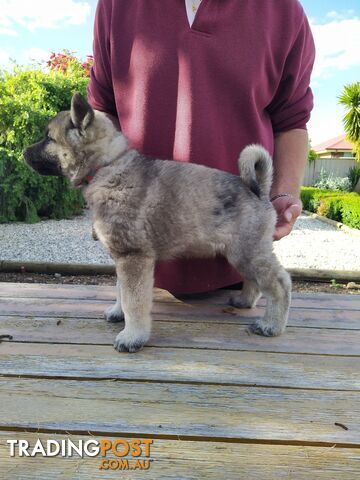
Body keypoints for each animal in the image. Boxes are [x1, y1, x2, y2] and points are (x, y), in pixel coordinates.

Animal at [23, 92, 292, 352]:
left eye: (48, 138)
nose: (23, 152)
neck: (106, 166)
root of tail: (257, 190)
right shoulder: (123, 258)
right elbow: (121, 290)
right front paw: (118, 313)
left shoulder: (133, 257)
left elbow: (134, 300)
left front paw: (132, 336)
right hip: (241, 253)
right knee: (256, 281)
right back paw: (245, 301)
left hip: (247, 251)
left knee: (279, 284)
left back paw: (271, 325)